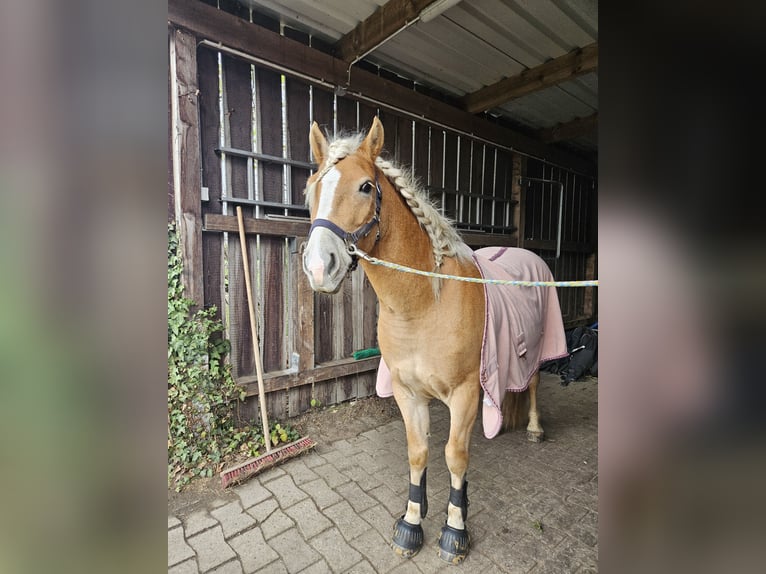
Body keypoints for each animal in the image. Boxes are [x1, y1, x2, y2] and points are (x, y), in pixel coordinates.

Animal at [301, 117, 567, 563]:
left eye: (365, 187)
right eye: (312, 189)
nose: (320, 268)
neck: (425, 303)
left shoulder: (465, 394)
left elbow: (455, 458)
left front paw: (455, 530)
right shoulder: (408, 392)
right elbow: (418, 451)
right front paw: (411, 522)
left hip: (536, 349)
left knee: (532, 382)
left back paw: (533, 428)